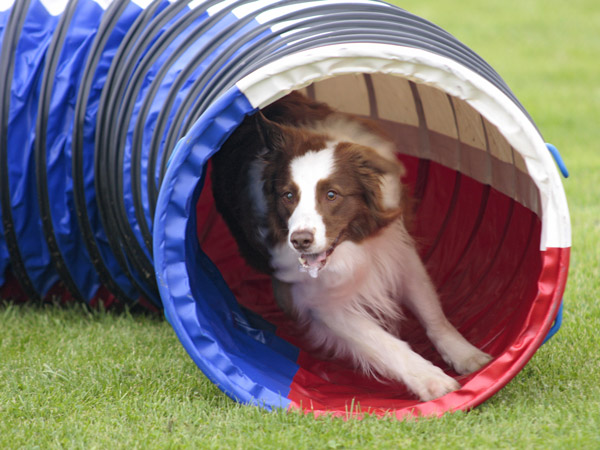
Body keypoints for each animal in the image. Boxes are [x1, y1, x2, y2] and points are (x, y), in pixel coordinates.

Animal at [211, 91, 492, 400]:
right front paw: (431, 380)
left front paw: (468, 355)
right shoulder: (321, 300)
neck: (351, 245)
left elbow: (431, 309)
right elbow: (382, 341)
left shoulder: (396, 246)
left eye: (332, 194)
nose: (300, 241)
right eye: (288, 195)